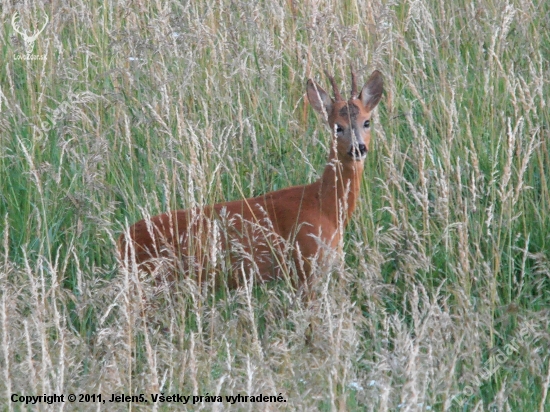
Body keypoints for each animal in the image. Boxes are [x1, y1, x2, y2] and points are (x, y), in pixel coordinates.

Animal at [120, 67, 384, 296]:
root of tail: (122, 240)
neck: (325, 206)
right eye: (337, 127)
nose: (358, 148)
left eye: (367, 122)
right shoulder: (306, 265)